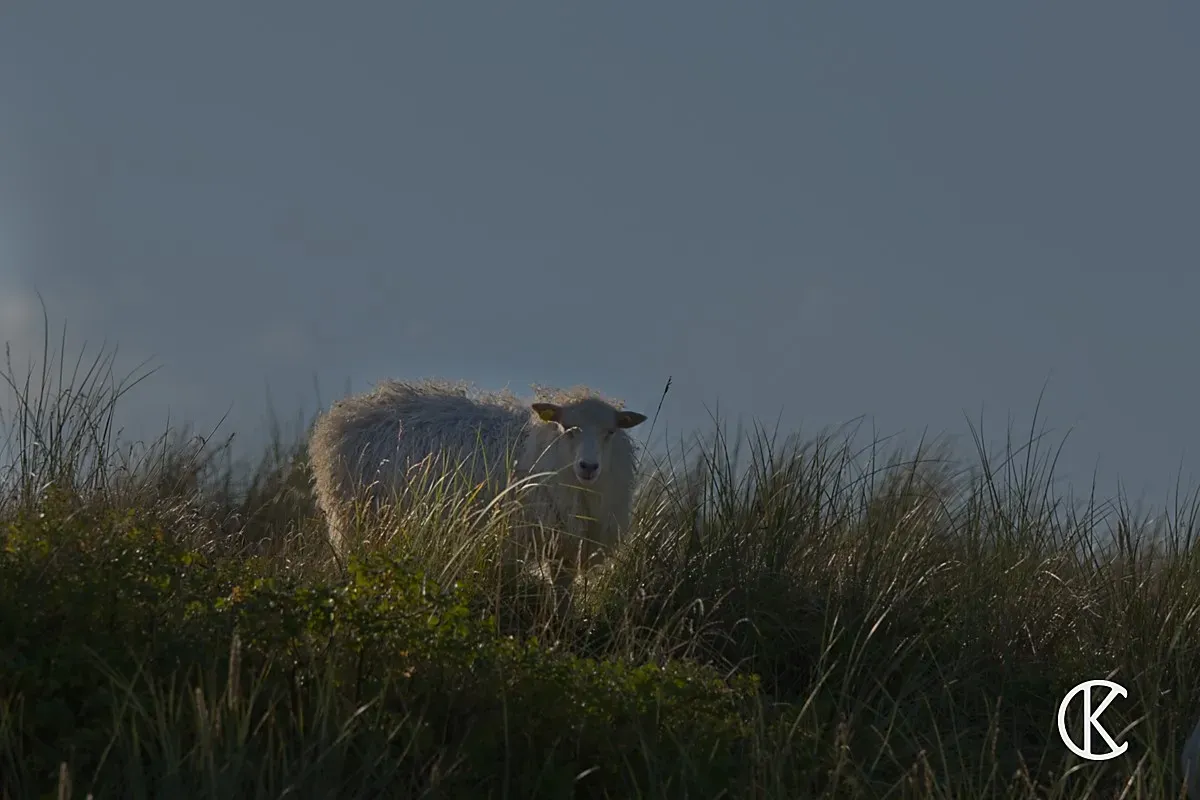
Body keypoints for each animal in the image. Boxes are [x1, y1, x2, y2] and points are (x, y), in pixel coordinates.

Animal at [307, 378, 648, 586]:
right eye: (569, 429)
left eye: (610, 432)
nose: (588, 466)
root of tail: (347, 413)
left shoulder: (565, 546)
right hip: (355, 521)